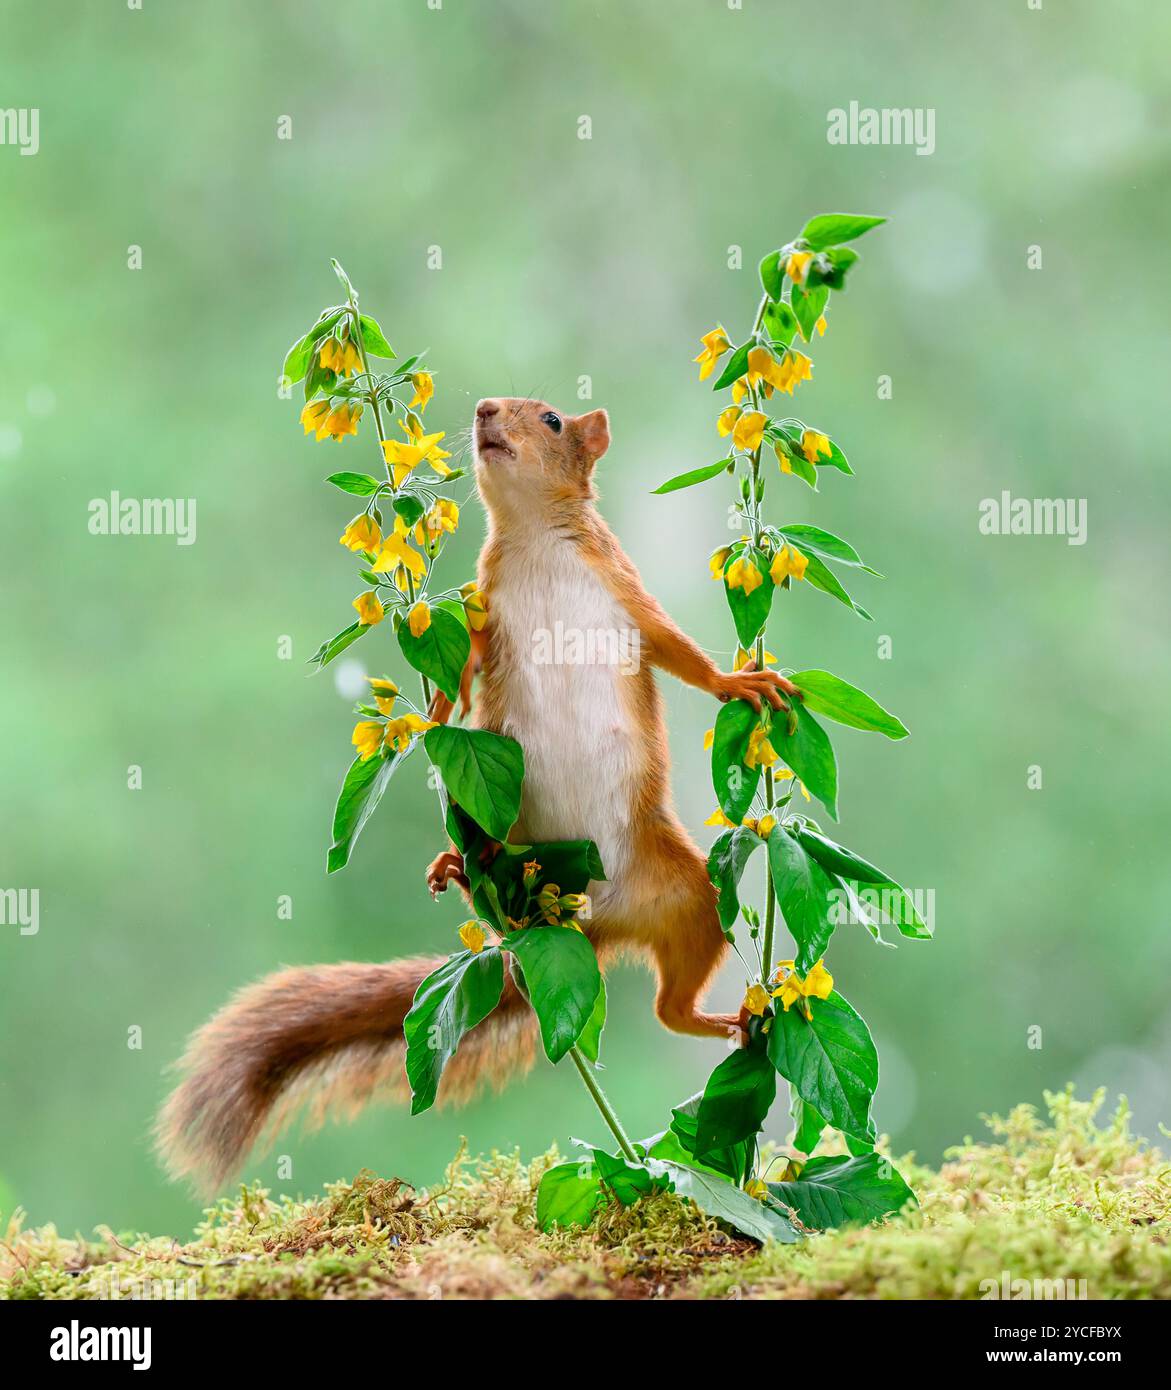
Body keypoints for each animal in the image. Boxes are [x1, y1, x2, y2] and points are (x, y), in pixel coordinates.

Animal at [155, 397, 789, 1189]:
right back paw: (457, 866)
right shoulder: (483, 608)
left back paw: (724, 1021)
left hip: (689, 897)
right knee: (631, 987)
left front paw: (740, 682)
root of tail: (582, 919)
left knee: (673, 1001)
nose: (487, 409)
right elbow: (463, 664)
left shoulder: (624, 590)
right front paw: (430, 710)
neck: (533, 536)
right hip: (510, 845)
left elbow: (679, 651)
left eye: (551, 419)